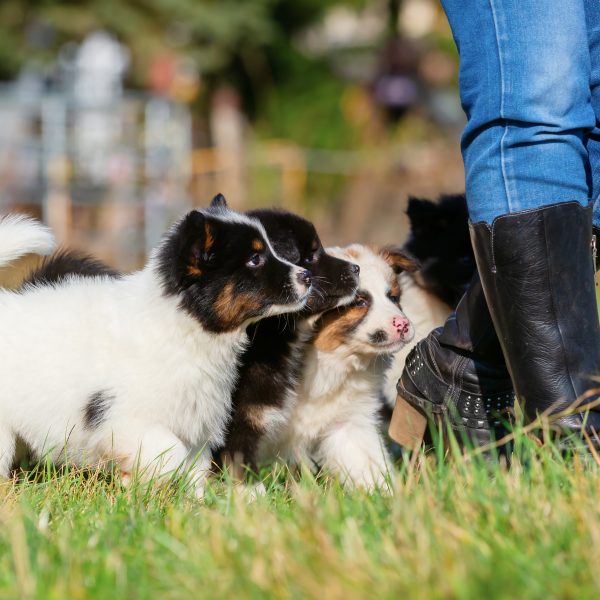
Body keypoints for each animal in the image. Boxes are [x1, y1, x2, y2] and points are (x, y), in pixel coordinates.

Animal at [0, 202, 312, 496]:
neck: (183, 326)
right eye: (255, 259)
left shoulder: (194, 426)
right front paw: (136, 480)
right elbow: (172, 455)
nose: (307, 276)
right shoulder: (125, 419)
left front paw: (196, 504)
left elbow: (195, 471)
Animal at [260, 244, 420, 492]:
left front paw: (388, 496)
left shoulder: (347, 422)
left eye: (393, 297)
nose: (403, 325)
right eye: (359, 302)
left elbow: (368, 462)